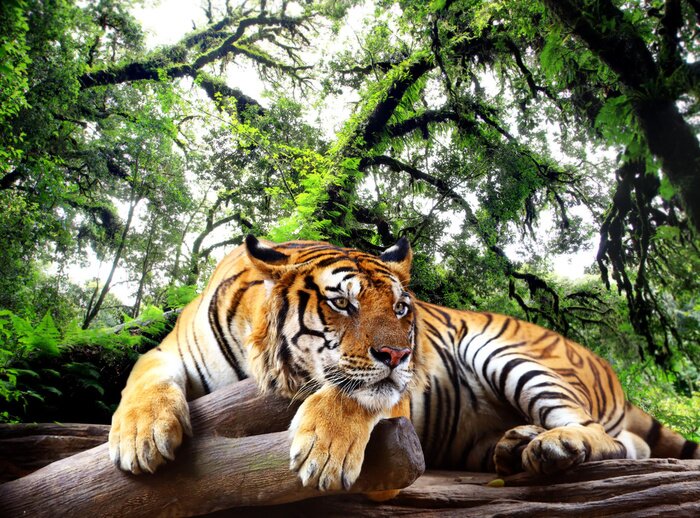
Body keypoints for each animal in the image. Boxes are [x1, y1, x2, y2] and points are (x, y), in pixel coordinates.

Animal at [109, 236, 699, 491]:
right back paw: (516, 445)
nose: (398, 354)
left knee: (610, 438)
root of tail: (609, 368)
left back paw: (553, 447)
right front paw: (141, 437)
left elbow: (354, 394)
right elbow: (142, 378)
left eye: (399, 308)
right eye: (342, 303)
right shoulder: (167, 351)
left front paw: (324, 454)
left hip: (507, 353)